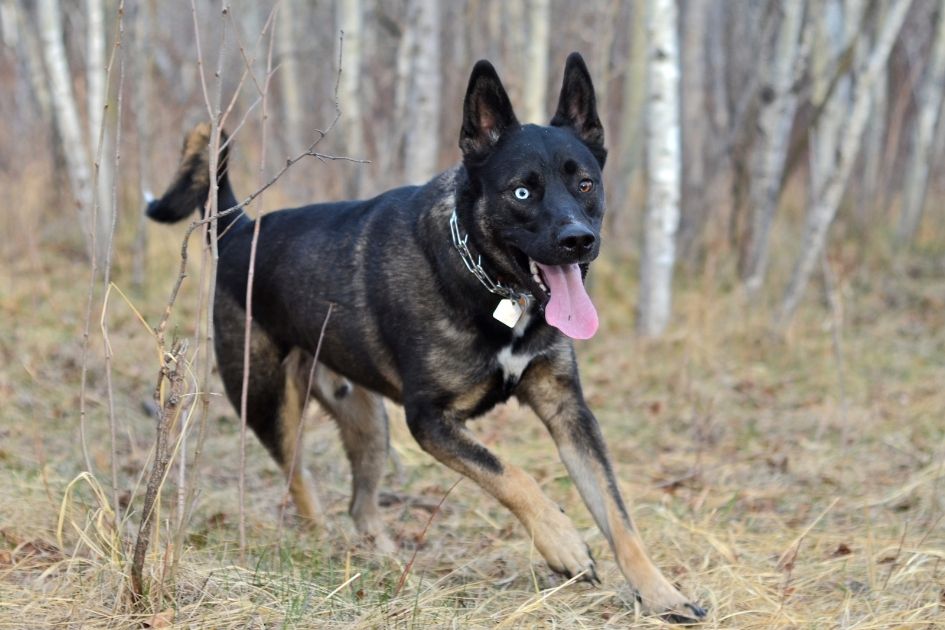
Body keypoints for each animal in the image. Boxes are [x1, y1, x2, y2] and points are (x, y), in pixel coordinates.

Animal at [149, 53, 700, 624]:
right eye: (522, 191)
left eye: (586, 184)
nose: (578, 241)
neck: (488, 281)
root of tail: (238, 228)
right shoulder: (429, 420)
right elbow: (511, 475)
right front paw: (563, 541)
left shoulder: (568, 411)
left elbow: (617, 513)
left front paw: (661, 593)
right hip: (270, 406)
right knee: (299, 480)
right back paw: (322, 546)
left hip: (368, 423)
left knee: (361, 505)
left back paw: (389, 566)